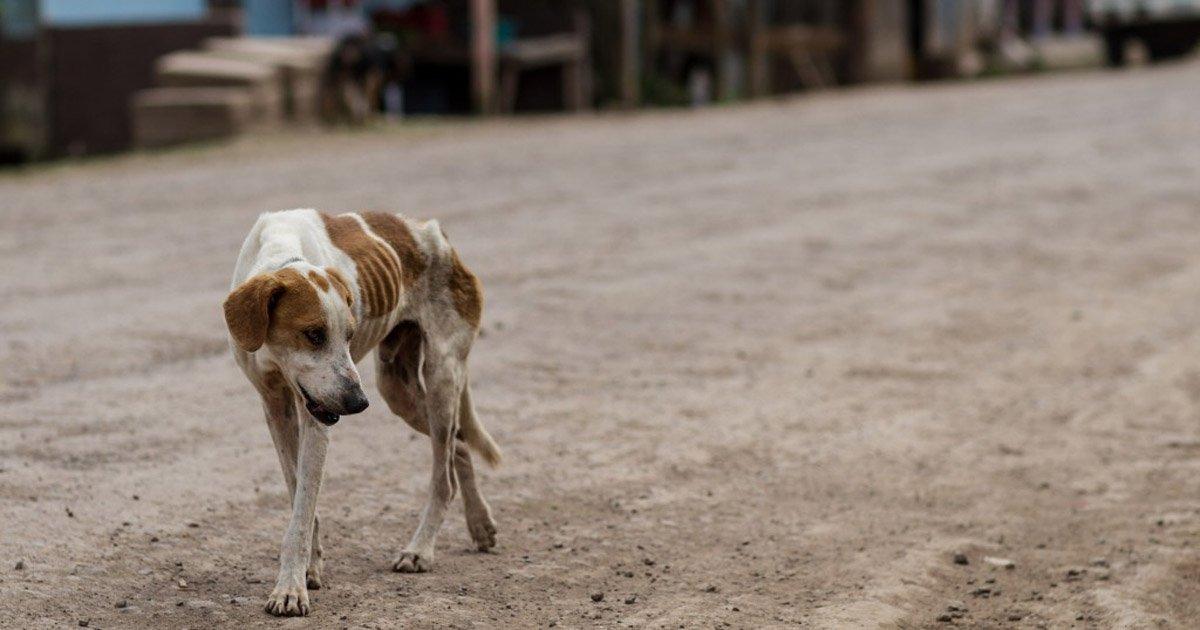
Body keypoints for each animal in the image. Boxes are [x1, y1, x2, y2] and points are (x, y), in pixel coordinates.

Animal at [223, 207, 499, 614]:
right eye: (314, 334)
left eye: (350, 334)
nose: (358, 404)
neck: (283, 253)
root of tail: (438, 234)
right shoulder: (275, 407)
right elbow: (298, 495)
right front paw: (310, 568)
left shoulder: (315, 419)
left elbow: (302, 511)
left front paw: (290, 589)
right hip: (397, 391)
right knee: (459, 446)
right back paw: (480, 524)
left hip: (441, 377)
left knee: (443, 476)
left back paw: (420, 549)